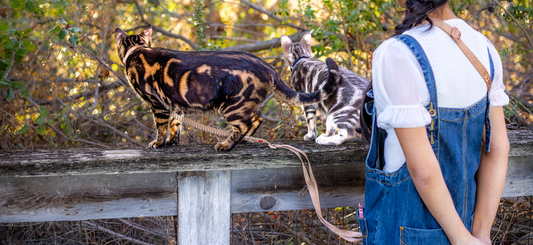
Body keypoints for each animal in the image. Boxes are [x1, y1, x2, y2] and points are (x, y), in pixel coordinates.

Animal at [114, 24, 338, 151]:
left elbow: (161, 127)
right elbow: (176, 125)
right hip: (243, 103)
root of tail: (266, 66)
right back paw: (241, 141)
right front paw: (171, 143)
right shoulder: (174, 104)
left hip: (232, 105)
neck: (138, 49)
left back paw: (226, 145)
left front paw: (159, 143)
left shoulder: (157, 104)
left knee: (247, 123)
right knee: (256, 119)